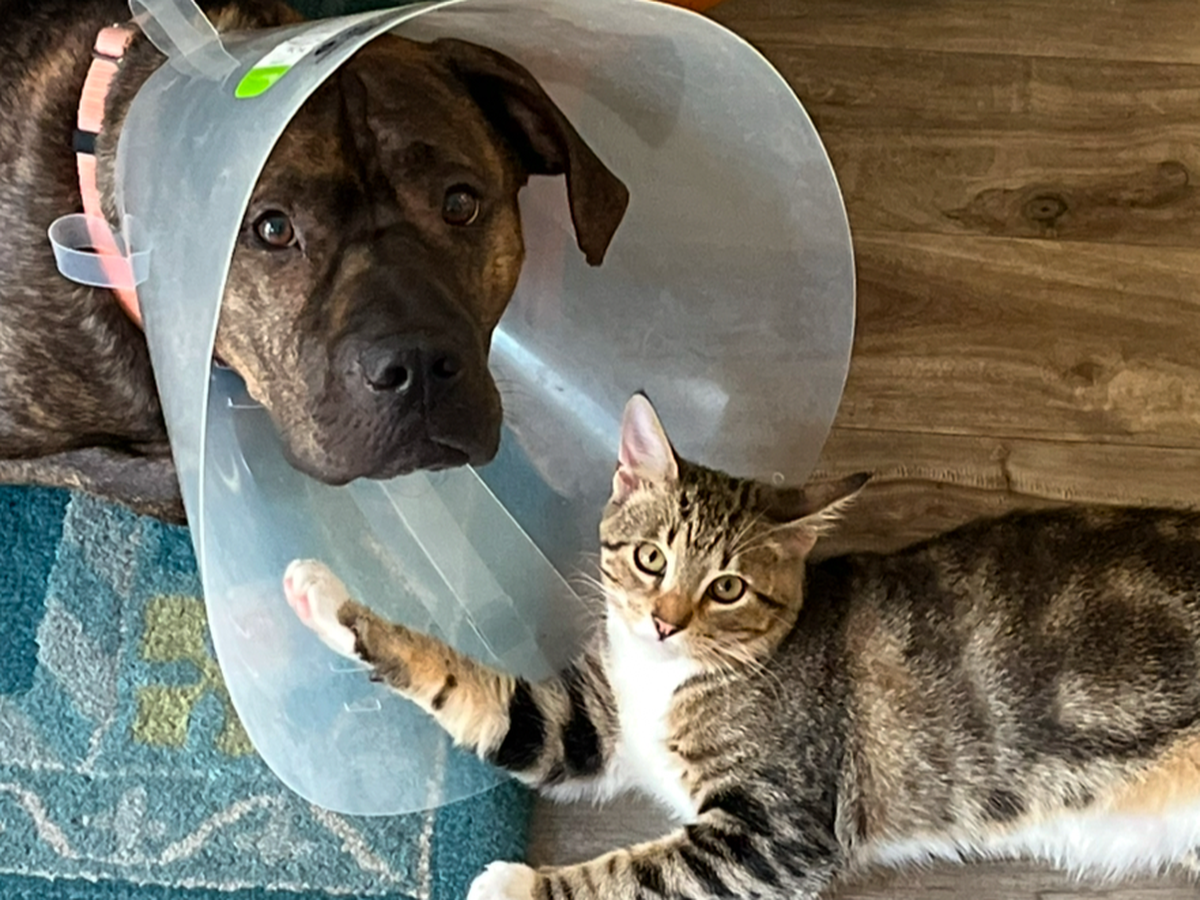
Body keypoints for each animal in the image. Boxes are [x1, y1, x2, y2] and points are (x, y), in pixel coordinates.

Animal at [284, 392, 1200, 900]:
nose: (664, 620)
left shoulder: (777, 831)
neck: (670, 677)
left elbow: (640, 872)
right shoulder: (588, 726)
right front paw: (321, 597)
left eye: (727, 588)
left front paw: (515, 884)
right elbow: (487, 699)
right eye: (651, 558)